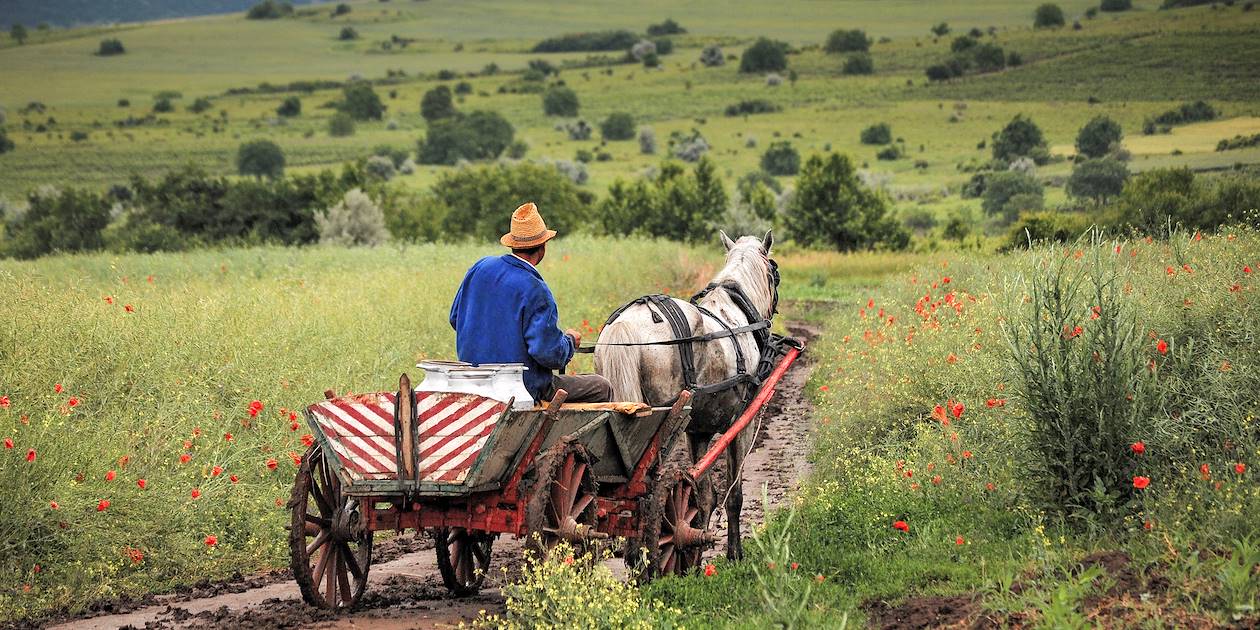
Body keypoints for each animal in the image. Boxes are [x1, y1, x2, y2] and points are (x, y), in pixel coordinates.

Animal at [592, 233, 776, 561]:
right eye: (773, 272)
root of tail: (627, 324)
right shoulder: (743, 423)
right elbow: (733, 494)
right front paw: (733, 553)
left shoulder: (697, 431)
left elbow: (704, 496)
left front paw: (696, 547)